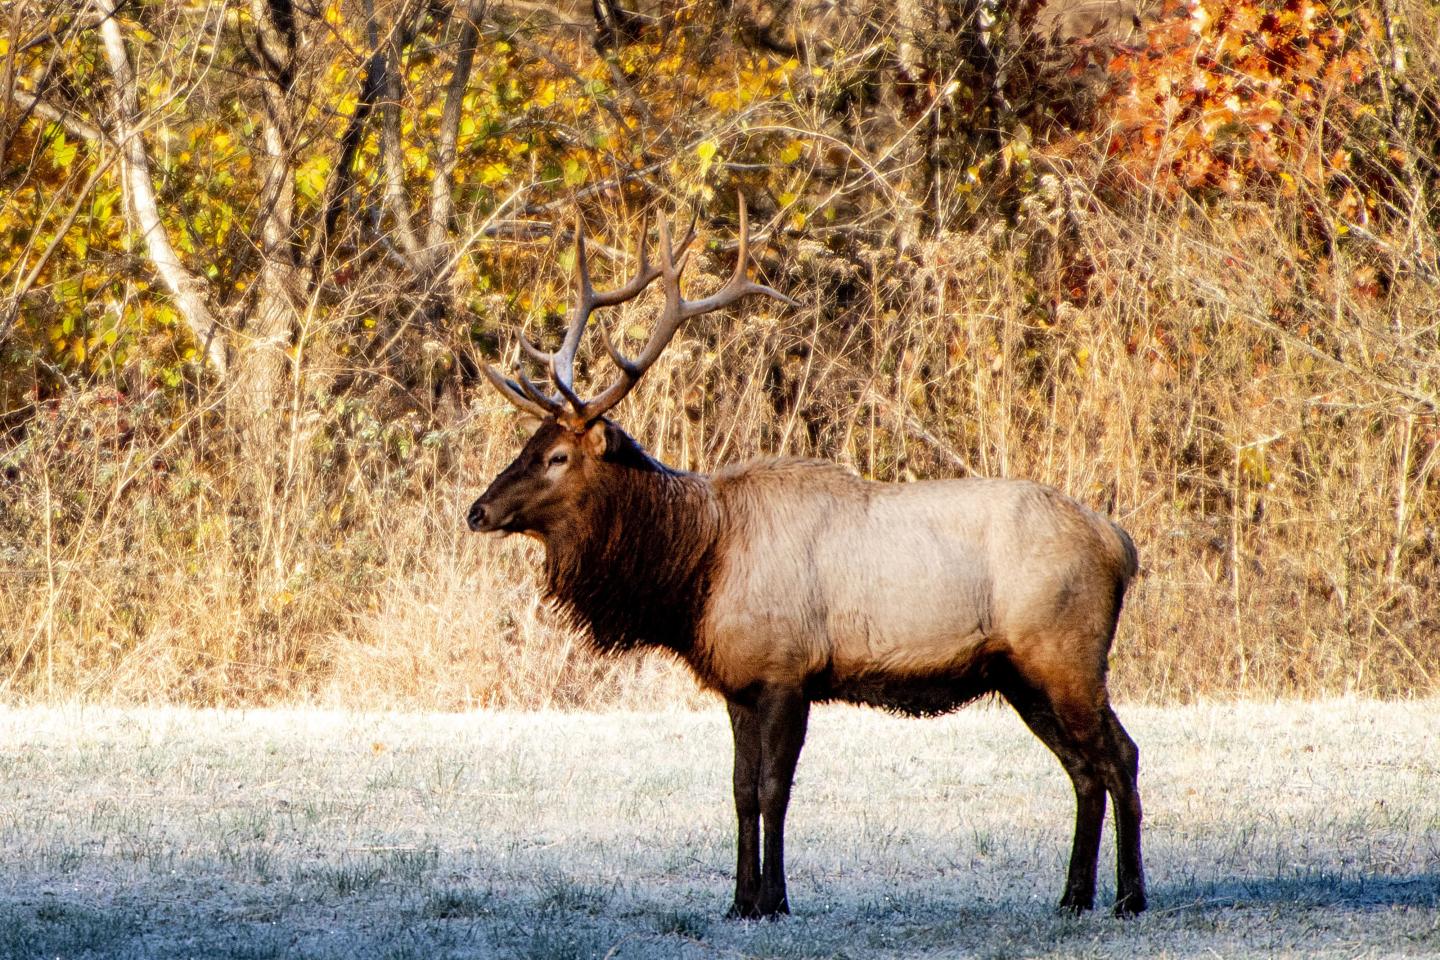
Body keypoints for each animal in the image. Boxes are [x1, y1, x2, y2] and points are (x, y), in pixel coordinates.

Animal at [466, 198, 1147, 919]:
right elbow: (740, 791)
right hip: (1021, 673)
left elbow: (774, 791)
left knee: (1120, 757)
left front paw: (775, 899)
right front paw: (739, 902)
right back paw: (1074, 896)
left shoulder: (787, 671)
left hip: (1067, 653)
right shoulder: (738, 681)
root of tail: (1120, 545)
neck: (696, 574)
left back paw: (1129, 897)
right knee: (1084, 770)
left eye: (556, 455)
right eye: (525, 445)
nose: (477, 511)